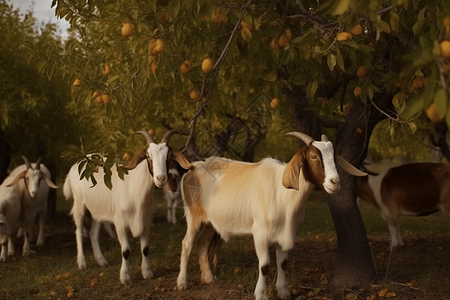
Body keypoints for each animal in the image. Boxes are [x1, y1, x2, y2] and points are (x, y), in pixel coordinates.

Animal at [62, 129, 191, 284]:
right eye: (148, 156)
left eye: (169, 156)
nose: (160, 178)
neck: (133, 189)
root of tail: (75, 166)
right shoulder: (120, 222)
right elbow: (126, 250)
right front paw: (125, 276)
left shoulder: (146, 221)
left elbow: (145, 248)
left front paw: (147, 272)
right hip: (79, 204)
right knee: (79, 231)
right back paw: (82, 263)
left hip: (98, 209)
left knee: (93, 233)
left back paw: (101, 261)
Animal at [176, 131, 366, 300]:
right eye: (313, 156)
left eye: (333, 157)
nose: (335, 183)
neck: (282, 193)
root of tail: (192, 167)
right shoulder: (260, 232)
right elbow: (265, 265)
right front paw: (261, 294)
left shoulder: (287, 231)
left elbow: (282, 263)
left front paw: (284, 292)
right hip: (194, 216)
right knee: (186, 244)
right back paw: (182, 283)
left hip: (211, 221)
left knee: (202, 243)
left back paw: (208, 278)